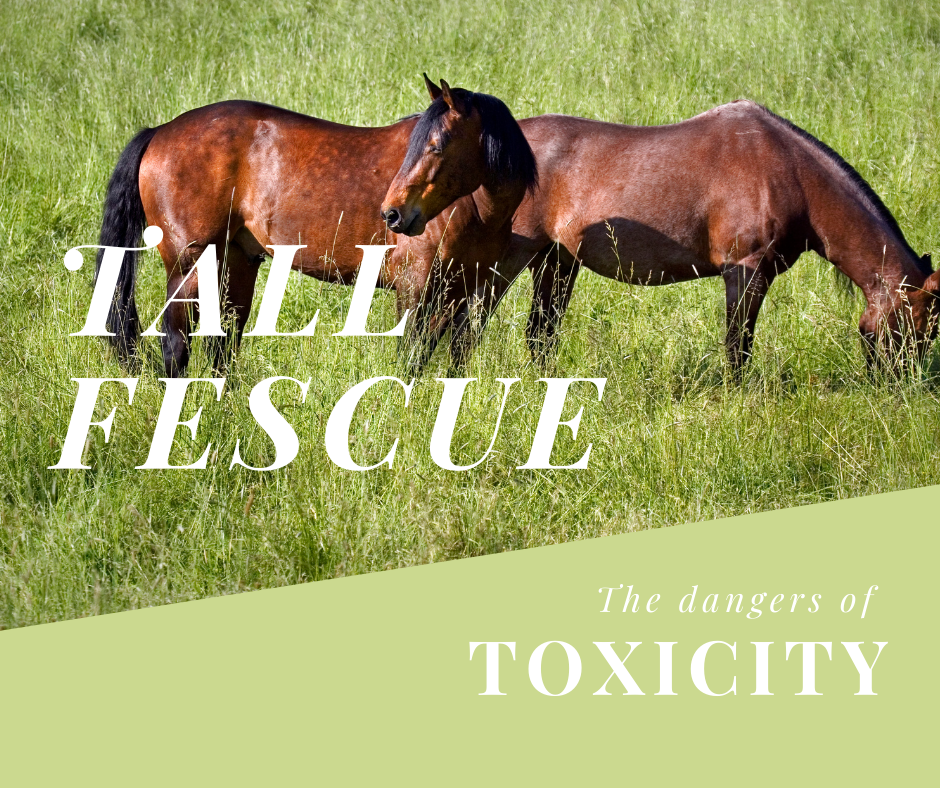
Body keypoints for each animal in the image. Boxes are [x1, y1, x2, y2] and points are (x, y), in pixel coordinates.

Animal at [94, 76, 535, 376]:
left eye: (436, 146)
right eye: (417, 144)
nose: (393, 214)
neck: (475, 209)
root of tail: (159, 132)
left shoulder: (464, 295)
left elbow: (451, 363)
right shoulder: (415, 290)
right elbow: (410, 361)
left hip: (235, 262)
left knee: (225, 344)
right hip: (188, 268)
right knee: (177, 346)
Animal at [385, 100, 940, 372]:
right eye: (921, 329)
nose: (904, 390)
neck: (788, 172)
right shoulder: (746, 273)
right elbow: (737, 348)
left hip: (555, 262)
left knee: (535, 335)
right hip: (507, 261)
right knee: (459, 327)